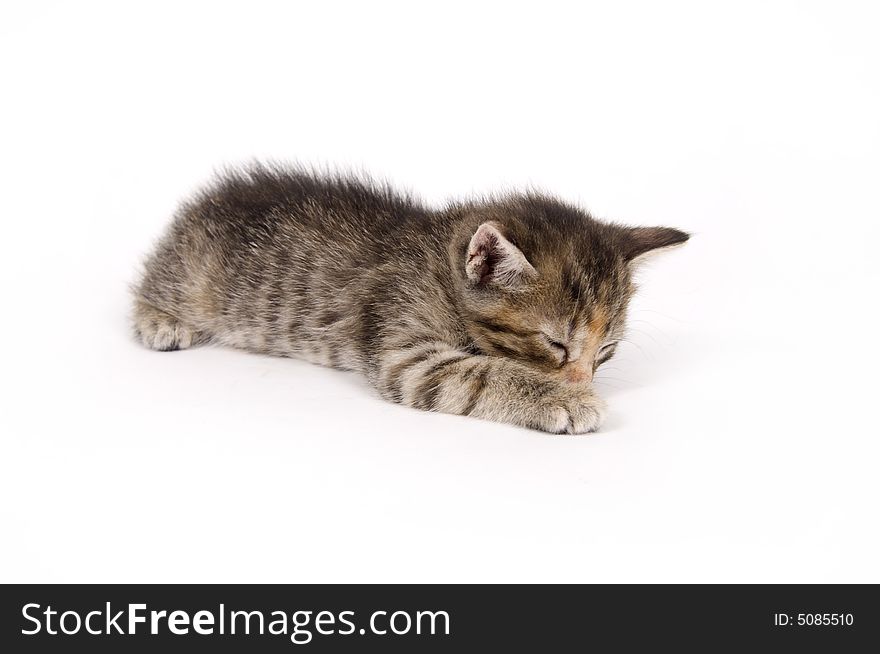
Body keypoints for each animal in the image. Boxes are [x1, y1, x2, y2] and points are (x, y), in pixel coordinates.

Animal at [136, 165, 688, 436]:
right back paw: (158, 321)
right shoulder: (405, 346)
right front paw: (565, 401)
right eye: (555, 344)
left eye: (606, 352)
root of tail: (208, 201)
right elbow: (479, 374)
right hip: (194, 278)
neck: (438, 267)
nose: (583, 381)